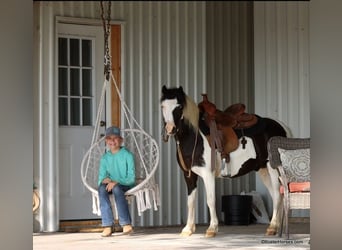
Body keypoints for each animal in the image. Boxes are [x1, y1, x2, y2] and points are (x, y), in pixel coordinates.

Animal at [160, 86, 288, 238]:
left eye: (179, 106)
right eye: (162, 106)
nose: (170, 129)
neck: (195, 137)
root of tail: (281, 127)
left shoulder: (207, 175)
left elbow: (210, 200)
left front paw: (212, 228)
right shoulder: (189, 175)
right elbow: (190, 202)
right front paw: (187, 229)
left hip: (273, 168)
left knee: (277, 194)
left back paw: (273, 227)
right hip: (263, 169)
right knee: (275, 195)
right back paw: (276, 227)